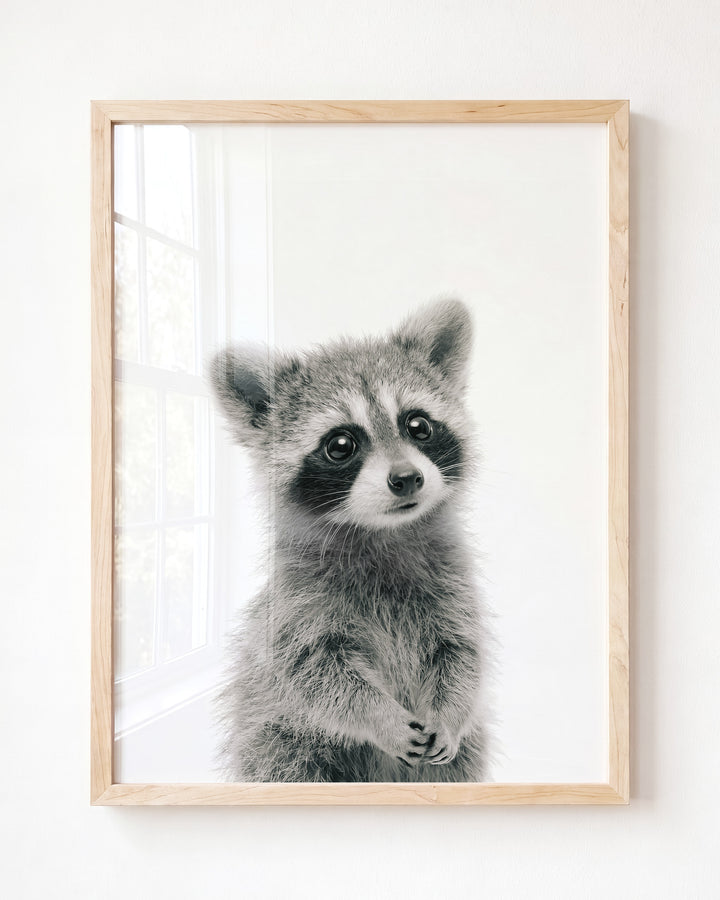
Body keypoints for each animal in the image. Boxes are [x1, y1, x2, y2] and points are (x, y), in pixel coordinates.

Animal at [210, 299, 492, 782]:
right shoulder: (295, 607)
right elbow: (316, 674)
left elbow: (461, 653)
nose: (407, 478)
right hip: (279, 742)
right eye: (340, 444)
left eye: (418, 425)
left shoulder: (453, 586)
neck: (382, 532)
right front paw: (381, 718)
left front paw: (450, 712)